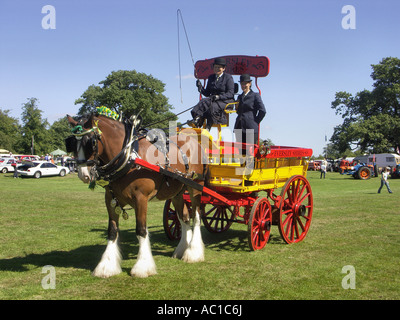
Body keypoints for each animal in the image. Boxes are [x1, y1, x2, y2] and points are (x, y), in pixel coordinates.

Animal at [65, 112, 209, 278]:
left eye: (91, 142)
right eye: (71, 143)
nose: (83, 174)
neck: (130, 157)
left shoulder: (141, 199)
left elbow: (141, 230)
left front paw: (142, 267)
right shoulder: (110, 199)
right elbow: (112, 231)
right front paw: (106, 266)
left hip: (195, 187)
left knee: (196, 216)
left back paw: (193, 253)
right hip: (177, 191)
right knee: (184, 217)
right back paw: (182, 250)